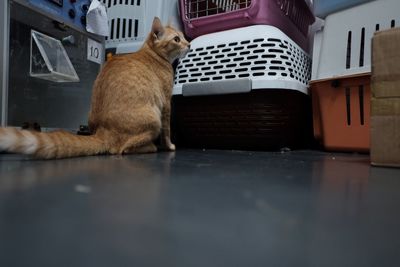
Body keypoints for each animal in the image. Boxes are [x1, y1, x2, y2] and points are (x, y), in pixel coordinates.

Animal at [0, 17, 191, 159]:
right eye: (177, 39)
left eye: (184, 37)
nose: (189, 44)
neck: (153, 54)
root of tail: (102, 131)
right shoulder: (166, 103)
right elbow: (167, 130)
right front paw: (169, 146)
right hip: (154, 119)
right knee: (121, 150)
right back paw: (151, 147)